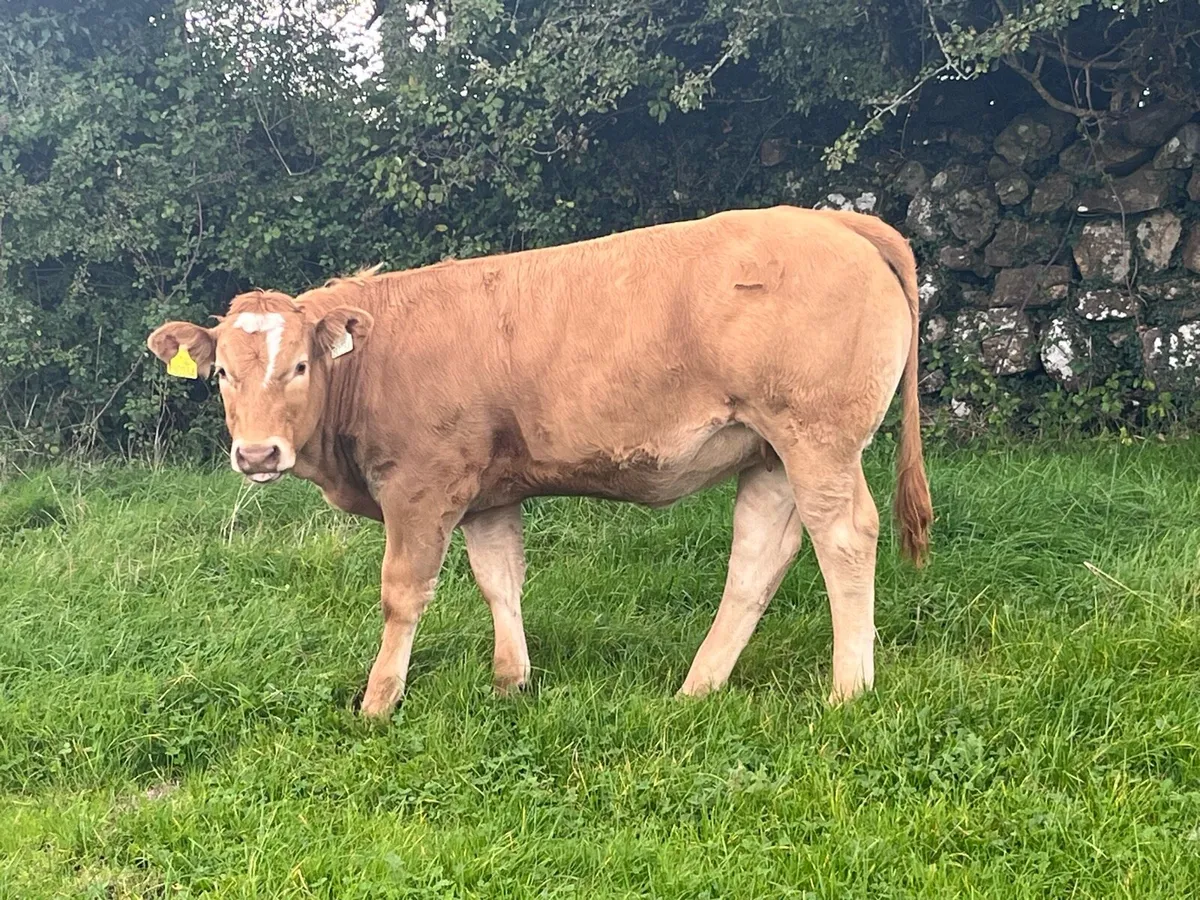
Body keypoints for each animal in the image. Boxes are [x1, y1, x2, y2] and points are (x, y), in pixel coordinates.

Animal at [147, 205, 932, 718]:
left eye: (302, 365)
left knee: (844, 537)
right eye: (222, 375)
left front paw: (378, 702)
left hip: (817, 438)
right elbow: (500, 580)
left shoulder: (422, 486)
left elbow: (403, 592)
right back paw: (697, 688)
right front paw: (510, 681)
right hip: (767, 451)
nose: (256, 453)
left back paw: (847, 691)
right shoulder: (489, 493)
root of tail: (833, 220)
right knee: (759, 557)